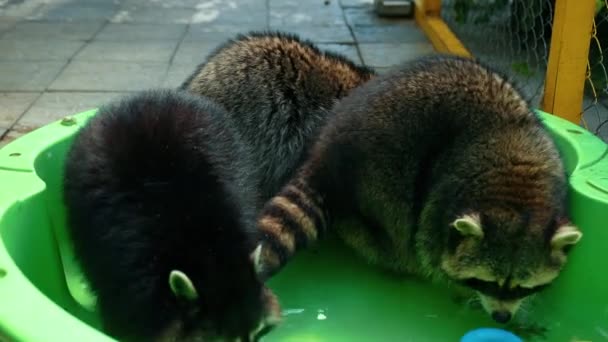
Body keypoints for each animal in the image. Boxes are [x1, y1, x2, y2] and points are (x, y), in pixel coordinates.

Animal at [253, 54, 584, 324]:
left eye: (523, 287)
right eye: (487, 282)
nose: (501, 318)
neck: (515, 193)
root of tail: (326, 155)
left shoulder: (551, 165)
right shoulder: (441, 199)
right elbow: (431, 249)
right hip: (381, 170)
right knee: (398, 220)